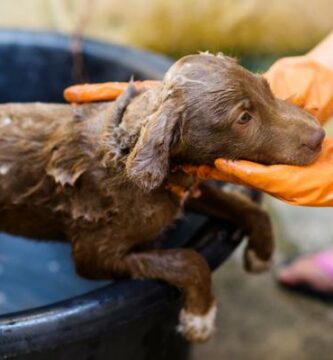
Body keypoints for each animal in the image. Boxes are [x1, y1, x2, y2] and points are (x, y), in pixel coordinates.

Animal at [0, 54, 324, 344]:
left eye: (266, 87)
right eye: (244, 118)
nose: (320, 136)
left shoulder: (182, 192)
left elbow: (248, 208)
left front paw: (261, 254)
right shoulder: (94, 254)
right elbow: (188, 259)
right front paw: (199, 317)